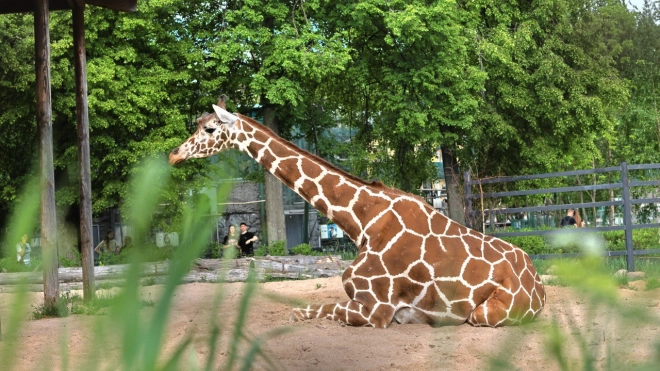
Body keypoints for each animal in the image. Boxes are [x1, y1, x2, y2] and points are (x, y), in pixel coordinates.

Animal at [170, 101, 548, 328]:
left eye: (209, 129)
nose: (174, 154)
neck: (362, 222)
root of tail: (541, 289)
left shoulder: (374, 310)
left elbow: (300, 312)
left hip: (484, 314)